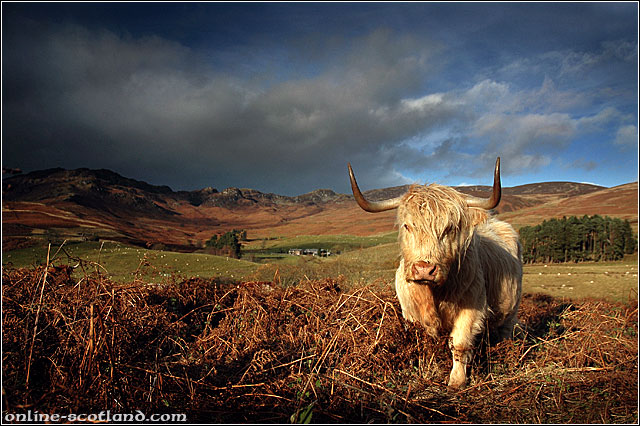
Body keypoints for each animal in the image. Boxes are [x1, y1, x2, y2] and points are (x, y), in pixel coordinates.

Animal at [347, 157, 522, 388]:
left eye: (449, 228)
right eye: (407, 226)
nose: (424, 269)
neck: (434, 294)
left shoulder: (473, 307)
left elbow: (460, 343)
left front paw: (457, 380)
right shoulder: (411, 312)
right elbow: (426, 339)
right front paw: (427, 366)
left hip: (511, 309)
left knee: (505, 330)